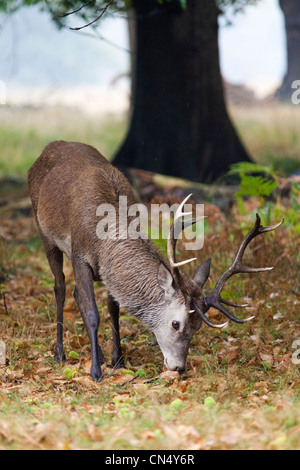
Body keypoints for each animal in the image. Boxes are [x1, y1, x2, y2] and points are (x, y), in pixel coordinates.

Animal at [28, 140, 284, 382]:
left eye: (198, 326)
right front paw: (96, 372)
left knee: (76, 293)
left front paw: (117, 360)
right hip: (44, 233)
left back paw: (97, 354)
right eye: (175, 323)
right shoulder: (80, 255)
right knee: (60, 288)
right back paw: (60, 353)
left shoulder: (109, 272)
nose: (179, 368)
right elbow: (93, 313)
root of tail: (48, 147)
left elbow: (113, 308)